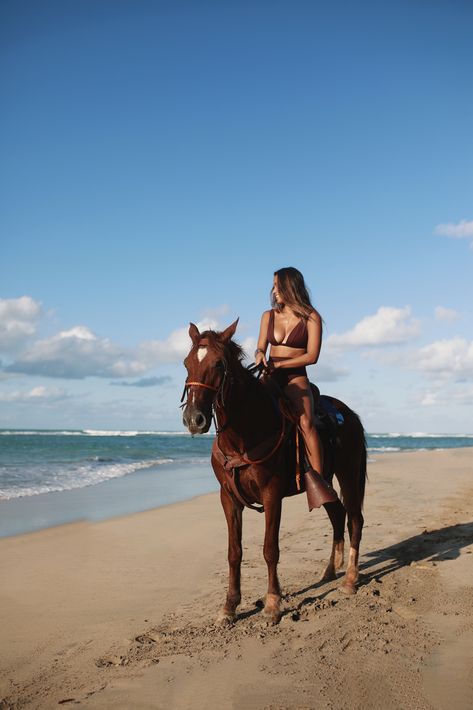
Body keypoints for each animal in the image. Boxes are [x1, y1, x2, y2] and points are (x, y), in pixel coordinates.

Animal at [181, 320, 366, 624]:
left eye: (219, 364)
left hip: (350, 474)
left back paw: (350, 580)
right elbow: (234, 552)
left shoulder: (272, 495)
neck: (244, 435)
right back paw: (329, 571)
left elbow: (270, 549)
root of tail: (348, 414)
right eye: (186, 363)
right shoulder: (228, 498)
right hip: (324, 484)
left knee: (354, 520)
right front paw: (229, 606)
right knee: (338, 515)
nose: (194, 419)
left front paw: (272, 604)